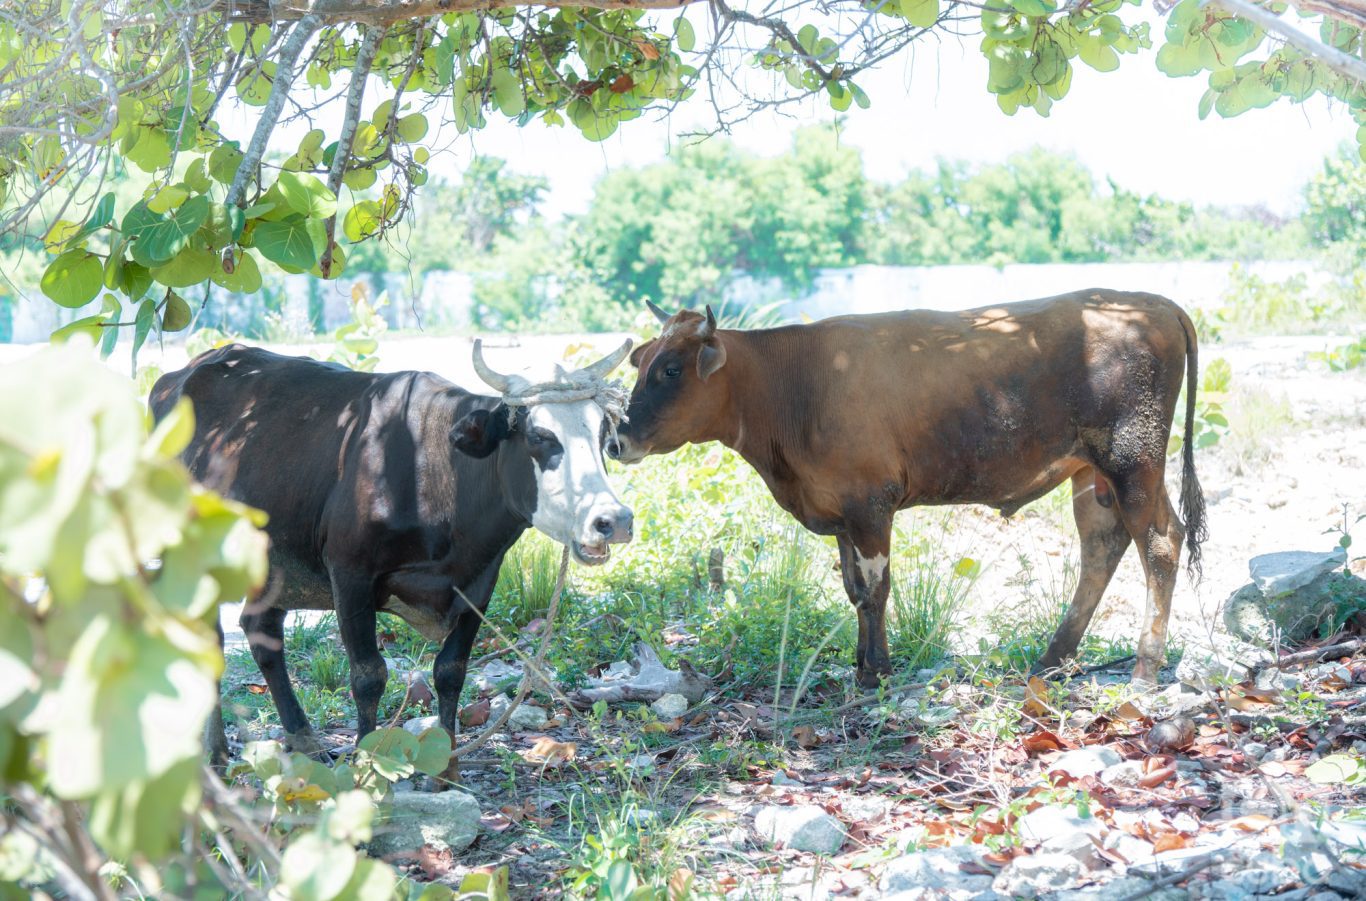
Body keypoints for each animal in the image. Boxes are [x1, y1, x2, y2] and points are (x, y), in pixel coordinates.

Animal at [150, 338, 633, 759]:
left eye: (602, 436)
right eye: (540, 436)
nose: (613, 520)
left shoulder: (480, 581)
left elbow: (451, 672)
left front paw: (447, 768)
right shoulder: (349, 573)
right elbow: (368, 676)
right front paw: (365, 762)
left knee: (261, 632)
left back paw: (301, 739)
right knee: (210, 638)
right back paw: (215, 751)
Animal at [617, 292, 1207, 685]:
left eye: (671, 370)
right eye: (640, 361)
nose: (614, 438)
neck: (794, 384)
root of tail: (1151, 303)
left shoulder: (869, 504)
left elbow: (876, 589)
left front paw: (876, 672)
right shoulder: (841, 510)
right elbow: (854, 589)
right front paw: (860, 665)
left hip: (1133, 459)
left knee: (1160, 543)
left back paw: (1145, 669)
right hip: (1093, 473)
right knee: (1102, 548)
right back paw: (1052, 657)